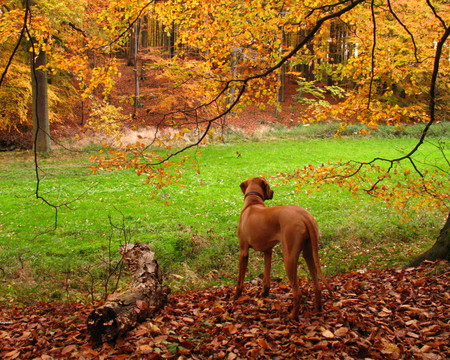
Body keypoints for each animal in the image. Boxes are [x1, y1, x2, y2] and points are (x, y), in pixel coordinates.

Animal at [236, 176, 330, 318]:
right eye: (269, 186)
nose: (273, 192)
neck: (252, 203)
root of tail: (304, 215)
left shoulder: (244, 251)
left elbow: (240, 279)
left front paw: (236, 297)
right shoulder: (268, 251)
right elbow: (267, 276)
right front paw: (264, 294)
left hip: (288, 256)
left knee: (298, 293)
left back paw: (293, 316)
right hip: (310, 252)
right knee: (317, 285)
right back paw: (318, 310)